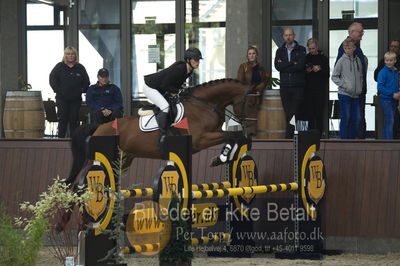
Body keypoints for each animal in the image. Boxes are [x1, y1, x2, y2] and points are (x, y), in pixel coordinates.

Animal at [65, 78, 266, 186]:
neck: (204, 105)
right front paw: (222, 157)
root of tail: (98, 127)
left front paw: (224, 157)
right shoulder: (200, 139)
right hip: (97, 159)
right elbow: (232, 135)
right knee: (78, 184)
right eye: (250, 104)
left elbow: (236, 136)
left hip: (123, 161)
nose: (253, 132)